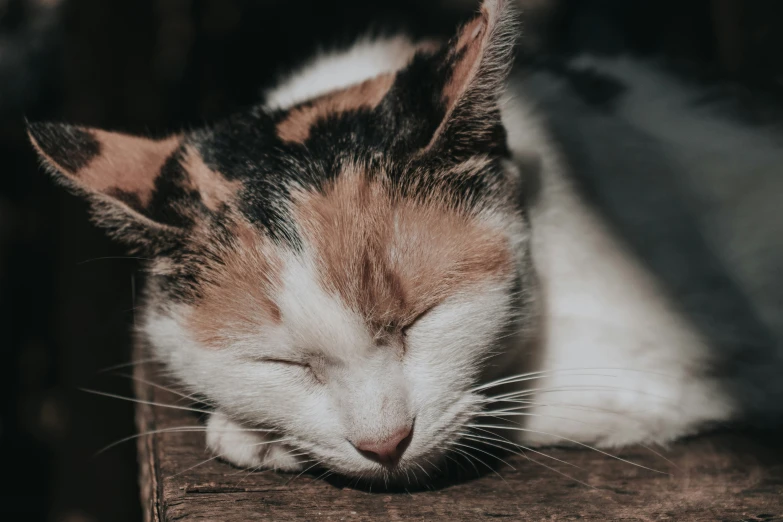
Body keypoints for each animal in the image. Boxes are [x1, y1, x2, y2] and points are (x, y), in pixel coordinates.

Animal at [27, 0, 780, 480]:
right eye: (280, 362)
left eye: (422, 321)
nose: (384, 444)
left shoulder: (683, 354)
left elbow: (498, 405)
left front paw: (247, 435)